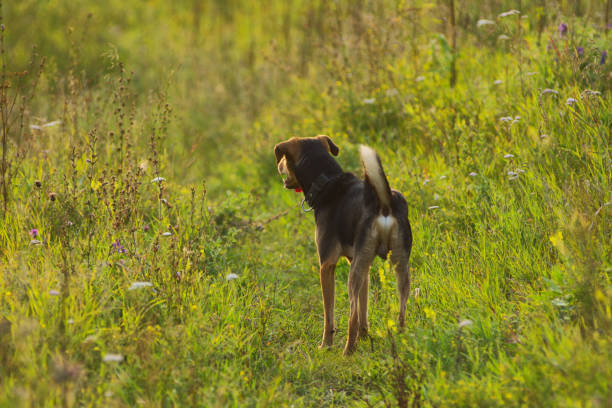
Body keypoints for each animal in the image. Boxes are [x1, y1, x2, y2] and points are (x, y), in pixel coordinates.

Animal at [276, 135, 412, 356]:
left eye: (283, 160)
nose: (279, 167)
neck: (326, 180)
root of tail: (382, 202)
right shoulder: (360, 263)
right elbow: (364, 309)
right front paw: (364, 337)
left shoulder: (327, 265)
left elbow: (329, 314)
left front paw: (325, 344)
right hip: (399, 265)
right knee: (400, 307)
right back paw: (400, 339)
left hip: (351, 277)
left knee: (351, 316)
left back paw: (347, 352)